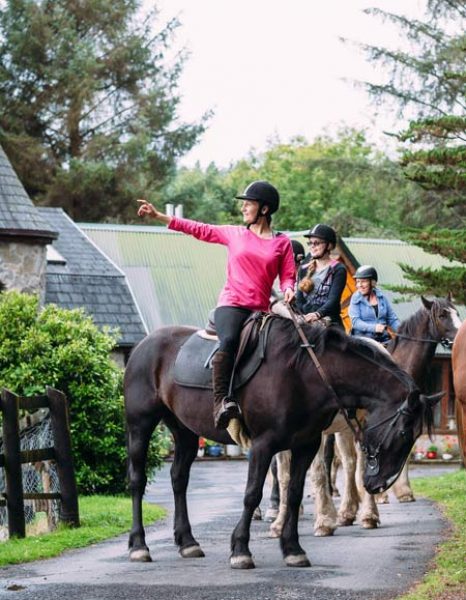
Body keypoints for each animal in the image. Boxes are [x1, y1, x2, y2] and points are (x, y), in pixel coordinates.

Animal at [124, 314, 440, 568]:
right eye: (403, 433)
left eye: (414, 437)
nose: (378, 484)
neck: (303, 373)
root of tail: (142, 346)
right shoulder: (263, 445)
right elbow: (253, 493)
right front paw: (241, 549)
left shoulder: (305, 445)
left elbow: (295, 492)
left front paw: (292, 549)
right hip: (140, 425)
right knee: (138, 480)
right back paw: (139, 546)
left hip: (185, 431)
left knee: (179, 478)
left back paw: (187, 542)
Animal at [268, 298, 460, 536]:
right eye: (442, 315)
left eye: (456, 312)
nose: (460, 334)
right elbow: (288, 474)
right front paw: (283, 523)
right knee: (346, 463)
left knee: (355, 463)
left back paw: (360, 512)